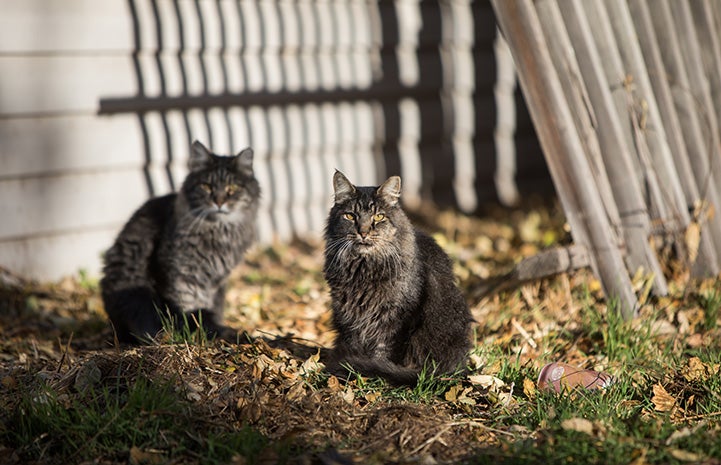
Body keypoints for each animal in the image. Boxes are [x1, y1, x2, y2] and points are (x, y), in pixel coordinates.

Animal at [100, 140, 260, 342]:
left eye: (233, 189)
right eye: (206, 186)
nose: (219, 201)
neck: (218, 231)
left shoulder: (216, 281)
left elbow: (207, 308)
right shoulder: (181, 274)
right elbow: (186, 308)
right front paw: (192, 333)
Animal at [322, 170, 472, 384]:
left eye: (379, 216)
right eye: (350, 216)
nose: (363, 232)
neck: (364, 268)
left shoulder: (396, 317)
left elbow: (383, 353)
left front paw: (370, 372)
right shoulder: (349, 315)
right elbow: (354, 345)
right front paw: (352, 370)